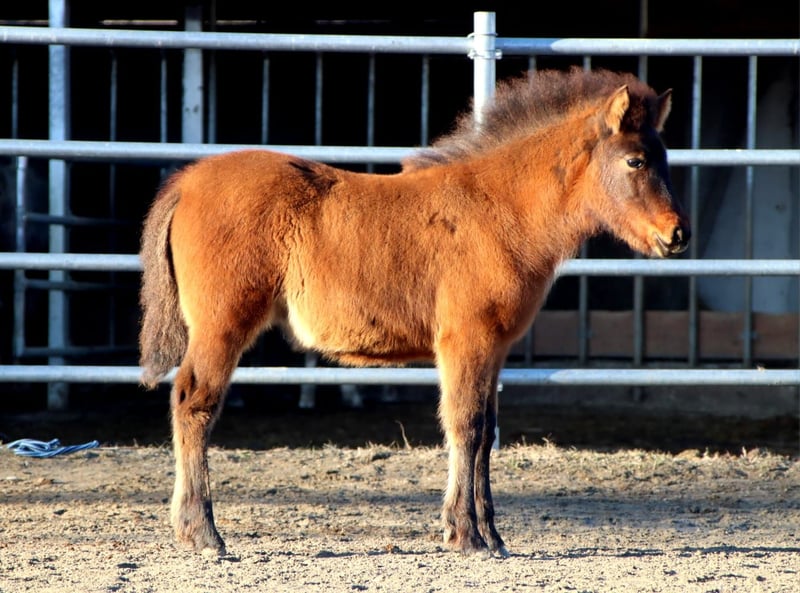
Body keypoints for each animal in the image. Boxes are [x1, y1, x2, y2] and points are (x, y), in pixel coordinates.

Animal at [138, 66, 690, 558]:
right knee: (193, 401)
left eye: (663, 158)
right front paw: (466, 536)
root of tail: (187, 182)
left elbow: (485, 432)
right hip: (222, 326)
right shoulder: (465, 340)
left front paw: (493, 536)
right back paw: (203, 533)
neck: (499, 210)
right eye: (636, 162)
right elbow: (465, 425)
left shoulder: (494, 348)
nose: (677, 234)